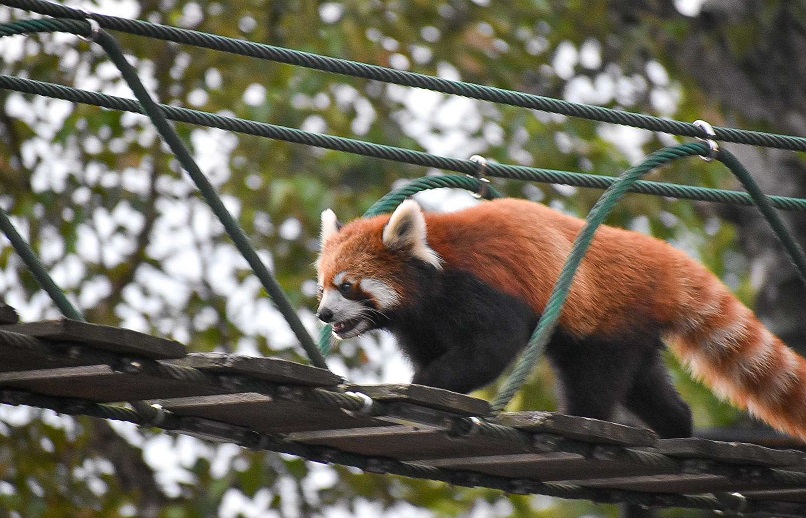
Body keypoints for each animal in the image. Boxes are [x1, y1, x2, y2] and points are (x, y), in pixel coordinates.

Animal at [316, 197, 806, 440]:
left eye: (347, 286)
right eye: (321, 286)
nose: (323, 314)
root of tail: (660, 259)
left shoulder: (487, 288)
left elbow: (491, 347)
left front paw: (427, 384)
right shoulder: (421, 323)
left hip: (608, 322)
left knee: (595, 380)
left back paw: (586, 422)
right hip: (632, 331)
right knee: (646, 385)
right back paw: (677, 430)